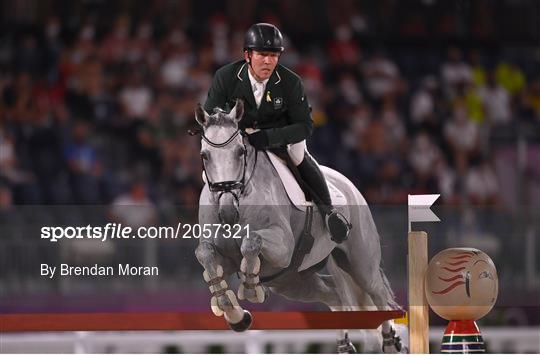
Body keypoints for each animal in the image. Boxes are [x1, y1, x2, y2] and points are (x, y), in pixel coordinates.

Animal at [194, 100, 404, 354]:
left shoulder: (282, 248)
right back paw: (345, 344)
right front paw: (237, 316)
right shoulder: (225, 258)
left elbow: (251, 241)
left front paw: (251, 289)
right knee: (335, 295)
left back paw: (391, 342)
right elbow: (205, 254)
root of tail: (347, 183)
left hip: (360, 264)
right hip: (291, 281)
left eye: (241, 152)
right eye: (204, 155)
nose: (226, 212)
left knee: (378, 295)